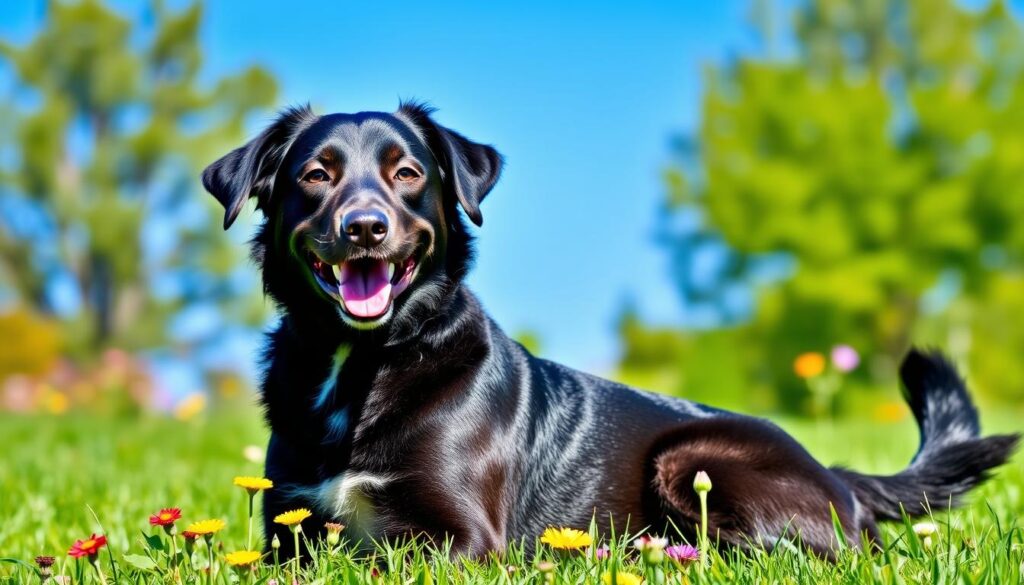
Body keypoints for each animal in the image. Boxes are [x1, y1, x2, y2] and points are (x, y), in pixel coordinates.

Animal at [199, 103, 1015, 557]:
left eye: (407, 174)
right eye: (316, 175)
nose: (364, 227)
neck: (364, 361)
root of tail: (834, 474)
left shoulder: (465, 539)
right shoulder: (289, 530)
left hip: (691, 459)